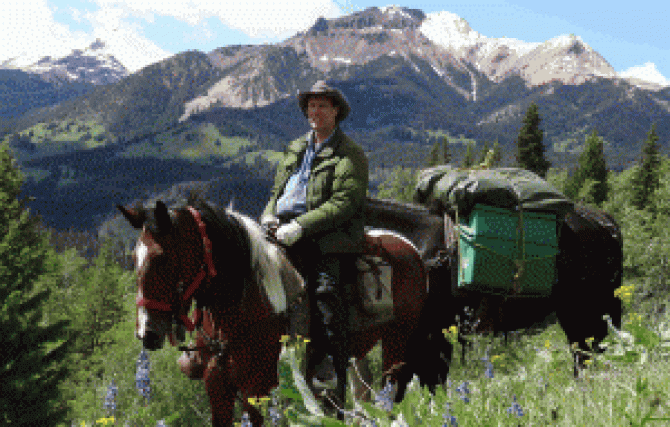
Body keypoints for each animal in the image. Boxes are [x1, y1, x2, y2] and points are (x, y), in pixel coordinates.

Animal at [119, 196, 448, 424]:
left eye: (162, 259)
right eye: (134, 258)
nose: (147, 332)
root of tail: (410, 248)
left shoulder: (257, 388)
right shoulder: (217, 385)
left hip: (397, 342)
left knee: (390, 395)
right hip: (359, 353)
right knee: (362, 396)